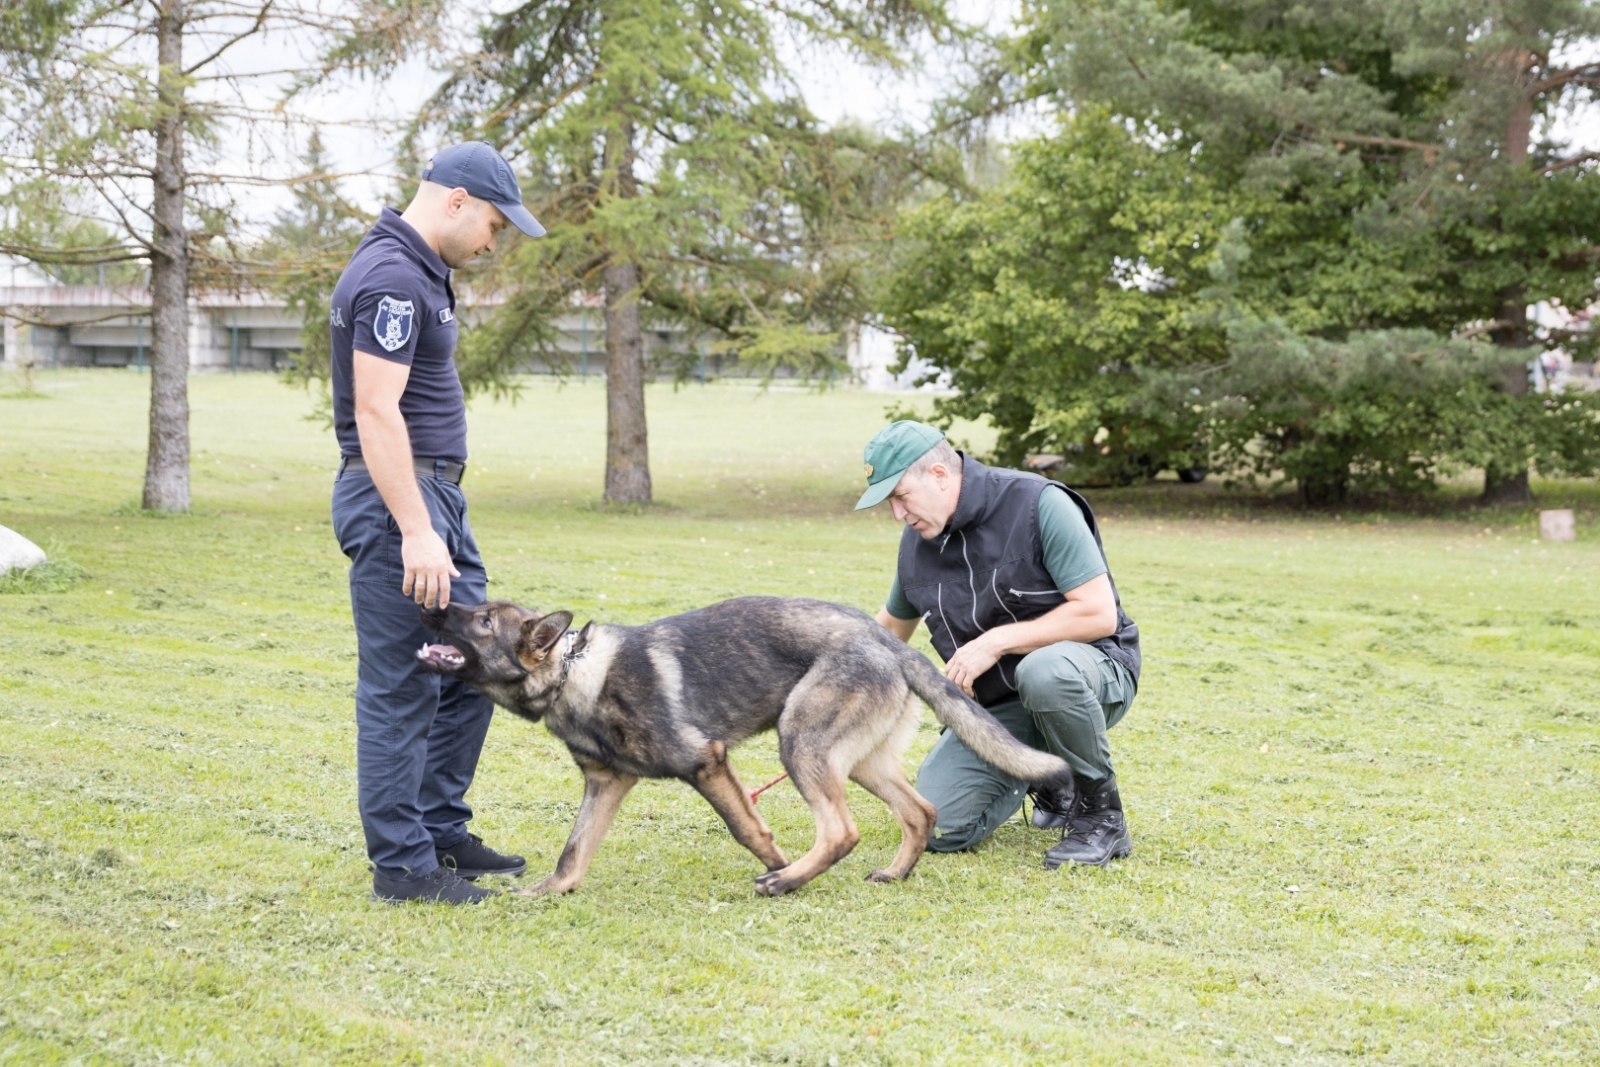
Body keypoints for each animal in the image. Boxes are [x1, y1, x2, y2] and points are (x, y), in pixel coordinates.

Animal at [419, 598, 1068, 895]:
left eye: (482, 621)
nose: (432, 604)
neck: (575, 672)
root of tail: (886, 640)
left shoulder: (706, 762)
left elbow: (746, 828)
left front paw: (776, 863)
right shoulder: (606, 784)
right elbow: (573, 851)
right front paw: (547, 892)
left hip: (801, 745)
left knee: (841, 831)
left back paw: (788, 881)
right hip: (860, 763)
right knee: (921, 811)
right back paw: (894, 872)